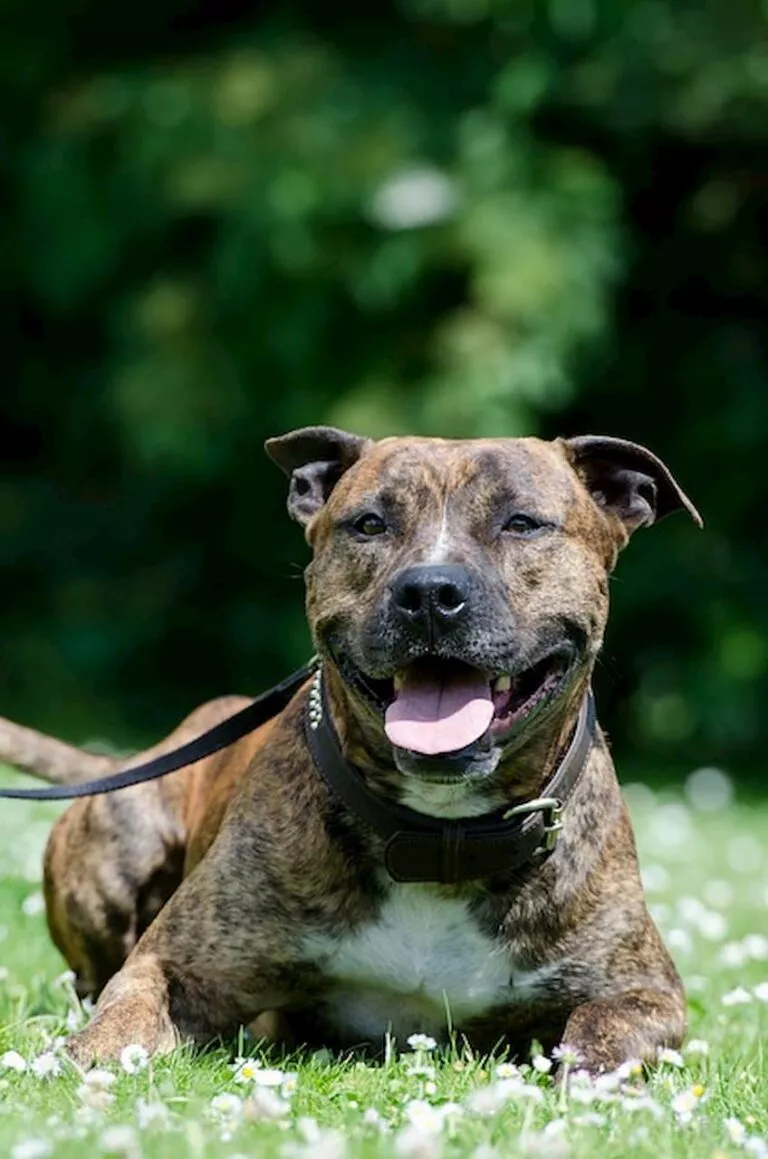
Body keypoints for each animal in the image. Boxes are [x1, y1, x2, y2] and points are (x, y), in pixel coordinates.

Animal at [0, 431, 704, 1070]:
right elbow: (116, 1025)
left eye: (522, 523)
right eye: (369, 524)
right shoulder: (172, 966)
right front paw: (76, 1065)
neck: (440, 838)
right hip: (120, 844)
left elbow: (596, 1040)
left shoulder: (645, 993)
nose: (429, 592)